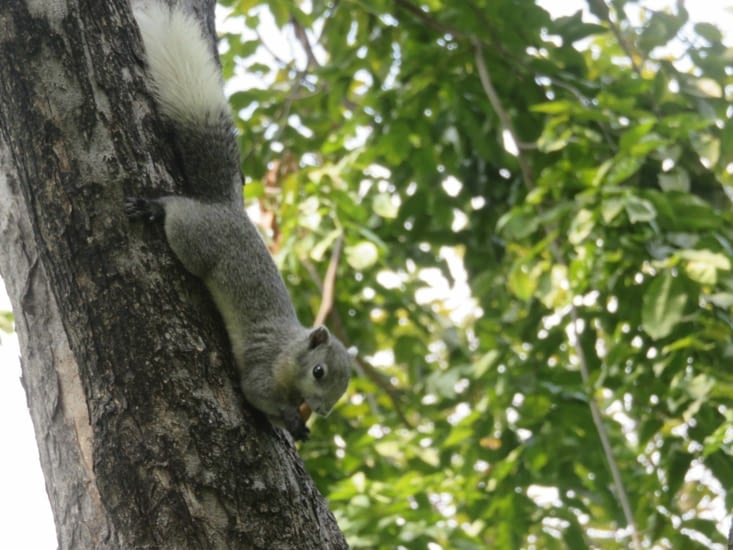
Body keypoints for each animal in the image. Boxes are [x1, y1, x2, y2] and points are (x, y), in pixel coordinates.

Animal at [125, 3, 351, 441]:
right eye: (319, 372)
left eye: (343, 389)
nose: (321, 410)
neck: (290, 352)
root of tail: (226, 207)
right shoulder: (264, 368)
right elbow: (256, 393)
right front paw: (292, 417)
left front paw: (299, 426)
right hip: (196, 238)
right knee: (179, 215)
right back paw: (158, 207)